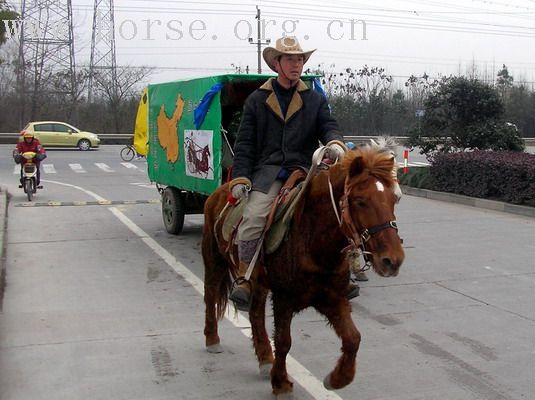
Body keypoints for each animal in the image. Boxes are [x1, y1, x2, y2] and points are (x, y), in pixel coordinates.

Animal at [203, 144, 404, 394]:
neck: (313, 239)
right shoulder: (284, 298)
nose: (392, 260)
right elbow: (283, 341)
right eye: (360, 200)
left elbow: (353, 339)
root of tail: (220, 190)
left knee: (255, 313)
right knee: (210, 297)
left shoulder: (332, 297)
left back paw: (264, 358)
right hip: (214, 262)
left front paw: (338, 378)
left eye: (394, 199)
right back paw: (213, 339)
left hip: (259, 282)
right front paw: (281, 383)